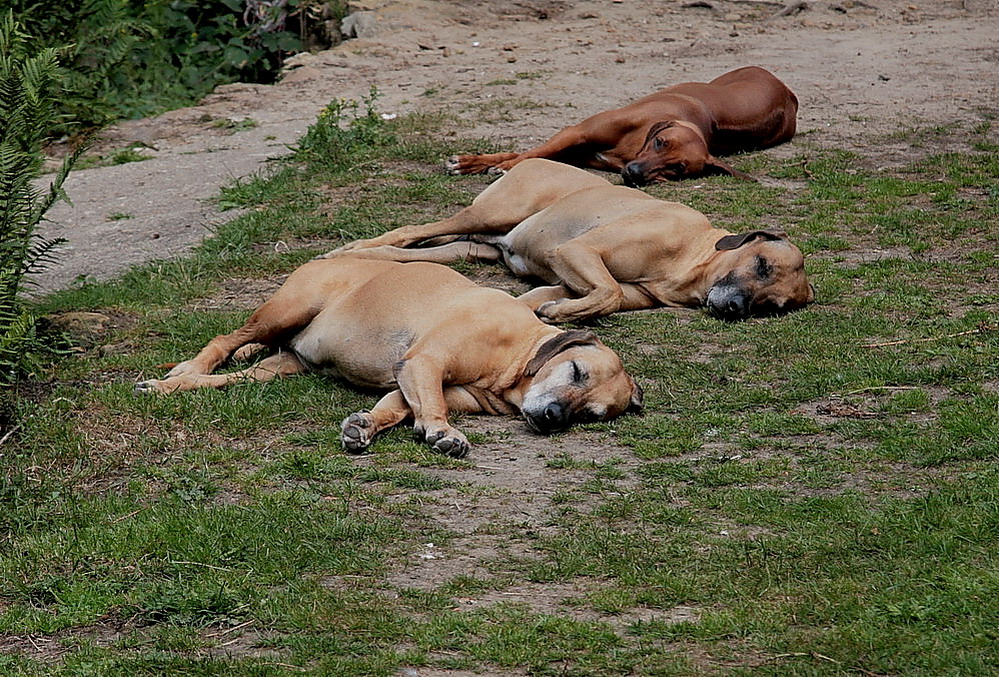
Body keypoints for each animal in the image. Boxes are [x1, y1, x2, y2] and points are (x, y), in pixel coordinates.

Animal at [135, 256, 640, 456]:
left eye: (590, 415)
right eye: (574, 370)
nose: (554, 417)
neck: (515, 360)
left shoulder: (419, 382)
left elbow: (397, 408)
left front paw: (365, 425)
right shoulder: (424, 365)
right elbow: (430, 404)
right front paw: (443, 432)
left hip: (278, 368)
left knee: (235, 378)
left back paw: (174, 385)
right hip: (286, 309)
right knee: (225, 339)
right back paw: (185, 369)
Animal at [326, 161, 812, 324]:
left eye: (772, 306)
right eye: (762, 264)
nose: (736, 309)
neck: (691, 257)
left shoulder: (573, 275)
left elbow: (595, 296)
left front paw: (555, 309)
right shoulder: (577, 252)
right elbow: (608, 292)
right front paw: (560, 313)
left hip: (473, 246)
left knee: (414, 249)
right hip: (491, 212)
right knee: (411, 230)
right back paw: (350, 249)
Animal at [446, 65, 796, 184]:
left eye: (677, 168)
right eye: (660, 142)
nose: (636, 173)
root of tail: (787, 91)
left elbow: (531, 156)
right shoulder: (576, 133)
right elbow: (526, 154)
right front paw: (482, 163)